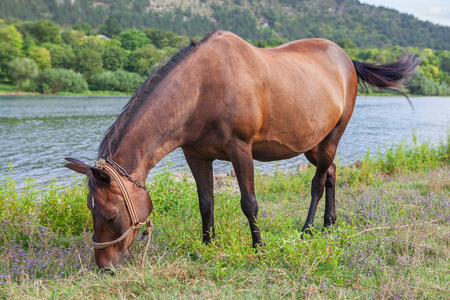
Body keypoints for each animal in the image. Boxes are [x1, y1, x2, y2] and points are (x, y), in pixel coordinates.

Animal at [64, 30, 422, 268]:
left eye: (111, 215)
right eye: (90, 210)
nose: (104, 265)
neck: (201, 88)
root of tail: (346, 59)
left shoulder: (240, 149)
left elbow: (249, 204)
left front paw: (259, 249)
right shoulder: (196, 155)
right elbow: (206, 202)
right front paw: (207, 244)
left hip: (332, 136)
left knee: (318, 182)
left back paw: (307, 231)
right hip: (313, 142)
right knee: (331, 172)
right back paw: (329, 223)